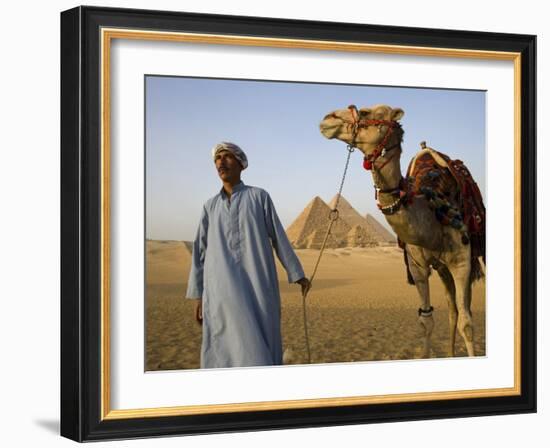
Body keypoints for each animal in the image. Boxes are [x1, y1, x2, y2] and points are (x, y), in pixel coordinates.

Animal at [320, 104, 488, 356]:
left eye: (367, 113)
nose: (327, 119)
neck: (431, 214)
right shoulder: (417, 266)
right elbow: (427, 320)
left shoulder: (461, 261)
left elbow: (467, 325)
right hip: (442, 268)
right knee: (452, 310)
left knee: (462, 310)